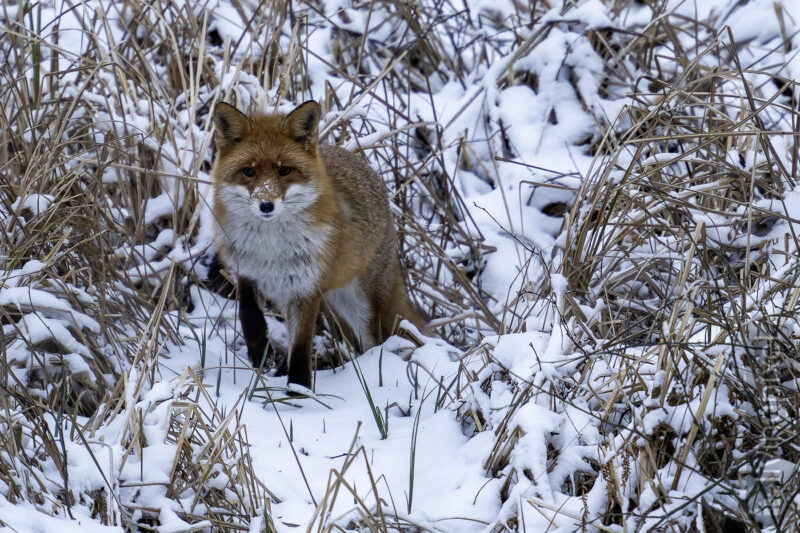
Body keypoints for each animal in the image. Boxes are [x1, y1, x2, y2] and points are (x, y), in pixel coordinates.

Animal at [211, 100, 424, 389]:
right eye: (248, 172)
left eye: (284, 170)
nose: (266, 205)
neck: (270, 250)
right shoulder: (247, 269)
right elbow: (248, 312)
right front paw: (260, 350)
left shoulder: (306, 288)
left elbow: (301, 348)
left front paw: (298, 391)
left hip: (363, 309)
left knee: (377, 343)